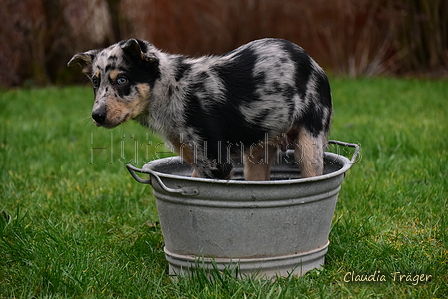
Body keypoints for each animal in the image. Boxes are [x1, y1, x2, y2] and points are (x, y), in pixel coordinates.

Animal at [67, 39, 332, 182]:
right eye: (95, 82)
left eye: (122, 80)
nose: (97, 116)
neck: (172, 90)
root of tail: (312, 61)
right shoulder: (195, 158)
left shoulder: (215, 162)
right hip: (257, 152)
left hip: (310, 144)